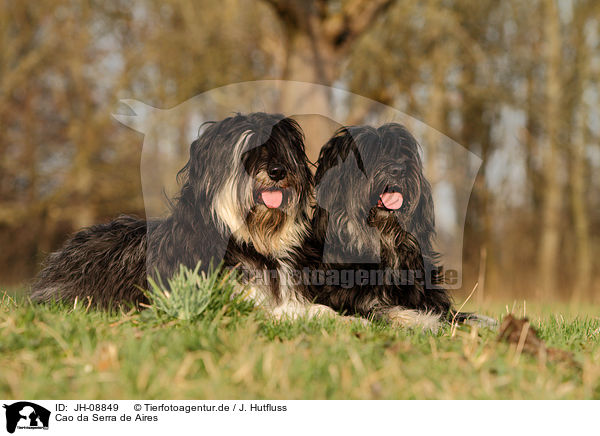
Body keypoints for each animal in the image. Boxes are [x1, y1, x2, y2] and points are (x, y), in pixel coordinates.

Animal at [308, 123, 486, 330]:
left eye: (403, 153)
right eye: (370, 153)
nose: (399, 170)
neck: (384, 240)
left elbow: (456, 314)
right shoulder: (346, 298)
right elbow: (387, 311)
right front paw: (423, 320)